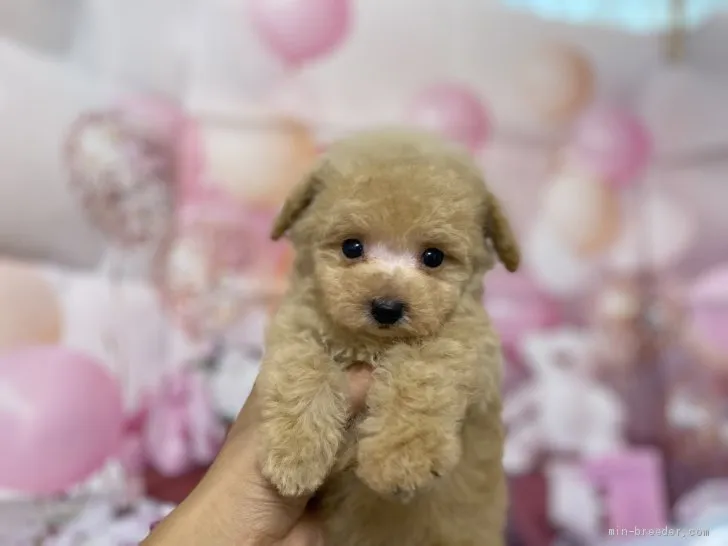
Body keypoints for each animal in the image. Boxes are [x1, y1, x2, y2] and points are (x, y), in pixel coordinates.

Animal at [256, 129, 516, 544]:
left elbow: (421, 375)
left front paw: (400, 459)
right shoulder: (297, 327)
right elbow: (304, 368)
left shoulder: (468, 347)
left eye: (433, 256)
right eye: (352, 247)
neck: (372, 343)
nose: (387, 308)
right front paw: (295, 455)